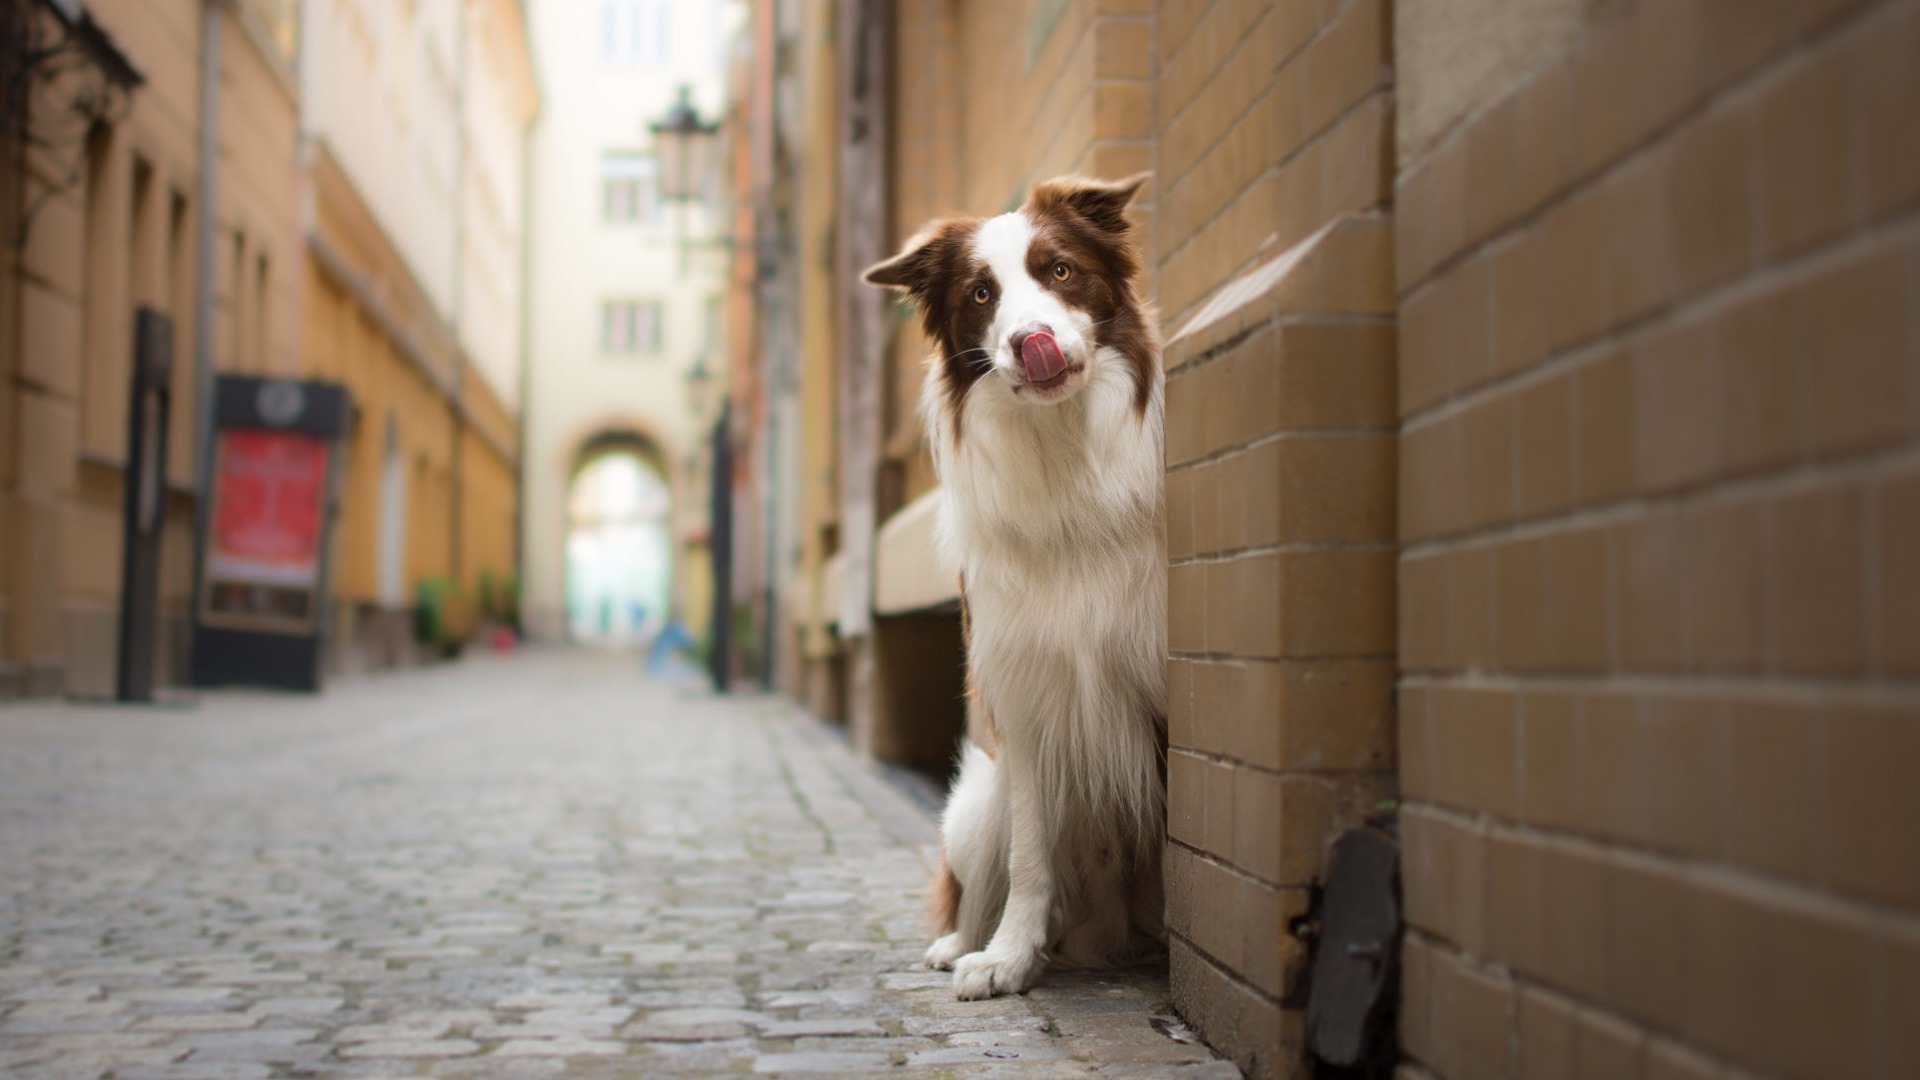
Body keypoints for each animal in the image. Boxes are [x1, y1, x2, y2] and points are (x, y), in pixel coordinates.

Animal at [864, 171, 1159, 999]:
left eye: (1059, 270)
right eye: (980, 293)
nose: (1031, 343)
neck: (1063, 461)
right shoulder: (1024, 697)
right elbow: (1031, 857)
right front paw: (1008, 958)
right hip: (974, 805)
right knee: (973, 891)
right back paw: (961, 946)